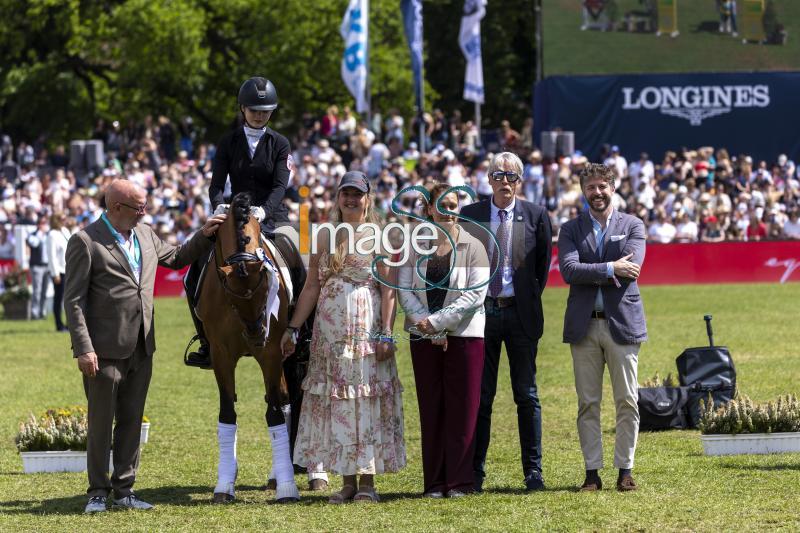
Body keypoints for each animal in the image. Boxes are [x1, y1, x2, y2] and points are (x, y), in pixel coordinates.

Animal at [196, 192, 300, 502]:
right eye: (229, 293)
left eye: (266, 289)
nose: (256, 335)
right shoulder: (221, 355)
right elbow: (227, 413)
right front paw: (224, 484)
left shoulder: (271, 352)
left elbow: (274, 413)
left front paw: (288, 488)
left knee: (286, 400)